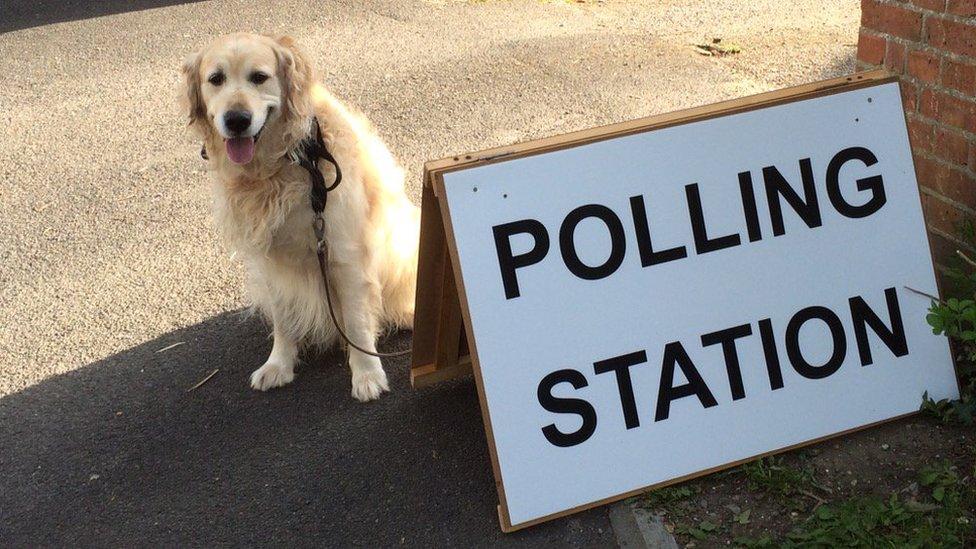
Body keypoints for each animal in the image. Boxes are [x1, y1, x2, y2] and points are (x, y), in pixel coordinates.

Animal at [183, 35, 420, 402]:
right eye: (216, 79)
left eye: (259, 77)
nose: (236, 119)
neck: (283, 164)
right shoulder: (272, 263)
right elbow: (283, 319)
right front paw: (279, 364)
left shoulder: (345, 254)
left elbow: (356, 324)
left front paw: (367, 374)